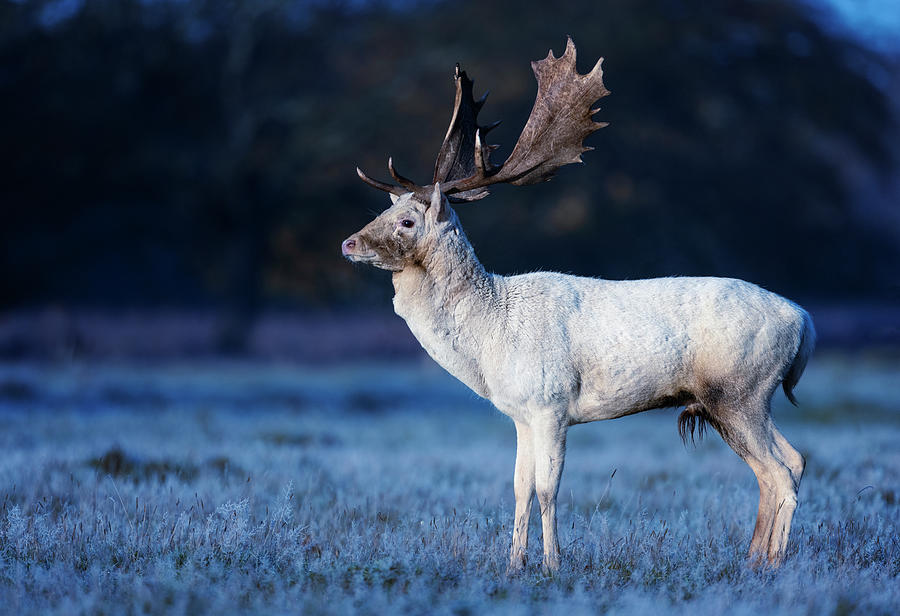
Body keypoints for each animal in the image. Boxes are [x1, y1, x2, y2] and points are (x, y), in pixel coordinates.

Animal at [342, 38, 812, 576]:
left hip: (738, 392)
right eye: (386, 211)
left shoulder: (551, 403)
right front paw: (513, 564)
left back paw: (771, 563)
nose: (349, 243)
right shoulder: (521, 413)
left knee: (781, 470)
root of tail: (804, 321)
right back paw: (755, 559)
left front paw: (552, 565)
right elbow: (520, 488)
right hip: (743, 399)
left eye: (406, 221)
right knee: (788, 464)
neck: (490, 335)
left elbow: (548, 489)